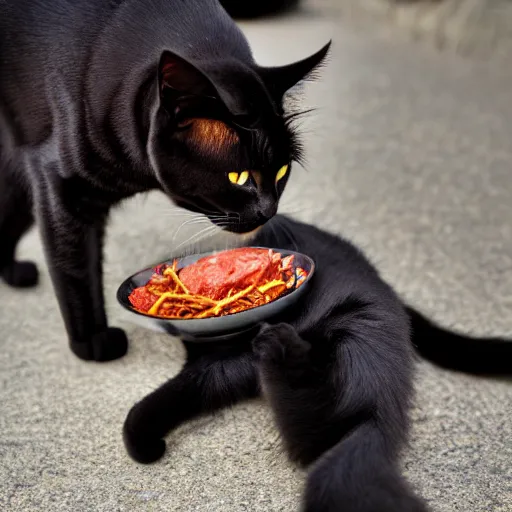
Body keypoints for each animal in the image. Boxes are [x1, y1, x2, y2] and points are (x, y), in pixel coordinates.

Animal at [0, 0, 328, 360]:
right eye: (239, 177)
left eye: (282, 171)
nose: (269, 211)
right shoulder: (61, 185)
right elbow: (75, 266)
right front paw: (92, 342)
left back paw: (12, 272)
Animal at [123, 215, 512, 512]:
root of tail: (379, 416)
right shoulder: (216, 364)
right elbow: (176, 394)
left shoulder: (218, 360)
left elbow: (161, 399)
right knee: (308, 433)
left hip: (355, 330)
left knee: (311, 423)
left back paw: (280, 346)